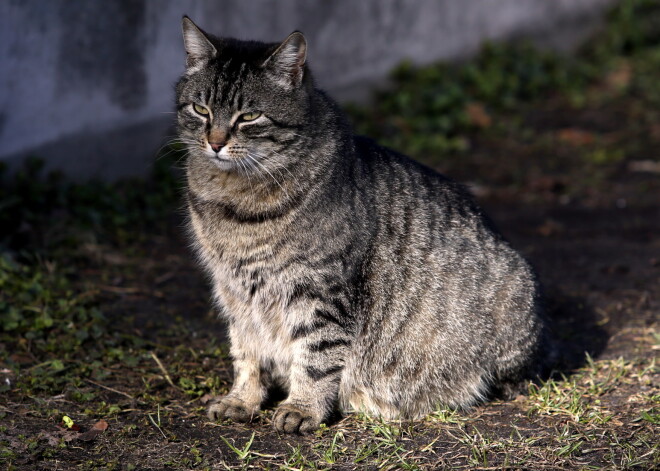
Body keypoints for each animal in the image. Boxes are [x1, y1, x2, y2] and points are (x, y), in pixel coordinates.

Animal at [177, 16, 552, 434]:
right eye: (200, 109)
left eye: (249, 116)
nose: (215, 143)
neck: (232, 201)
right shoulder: (235, 293)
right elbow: (246, 352)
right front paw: (242, 399)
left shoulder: (319, 290)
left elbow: (315, 356)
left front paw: (303, 408)